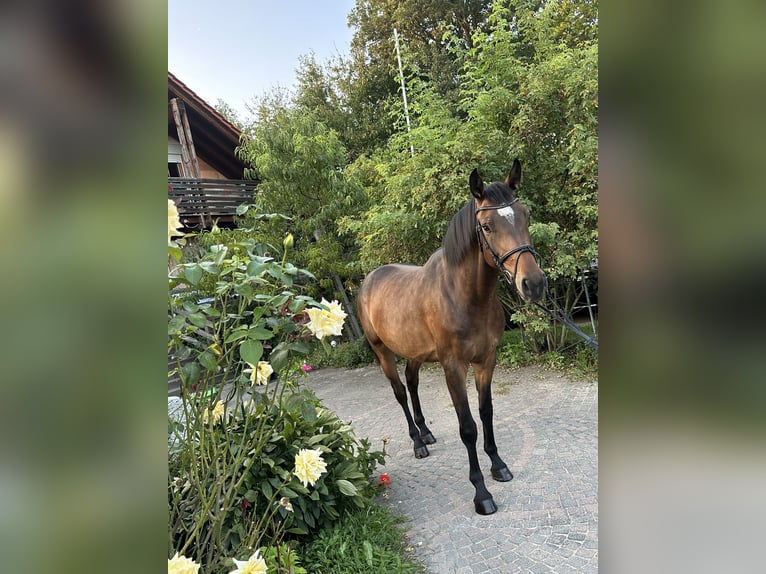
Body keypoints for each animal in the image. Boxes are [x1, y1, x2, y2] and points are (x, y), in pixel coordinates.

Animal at [356, 160, 548, 516]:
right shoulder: (453, 367)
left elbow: (486, 413)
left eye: (525, 215)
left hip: (414, 353)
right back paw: (418, 443)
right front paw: (481, 493)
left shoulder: (486, 360)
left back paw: (426, 432)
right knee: (400, 392)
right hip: (383, 352)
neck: (465, 296)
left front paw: (499, 465)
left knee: (412, 383)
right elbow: (468, 426)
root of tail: (368, 281)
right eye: (486, 226)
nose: (534, 284)